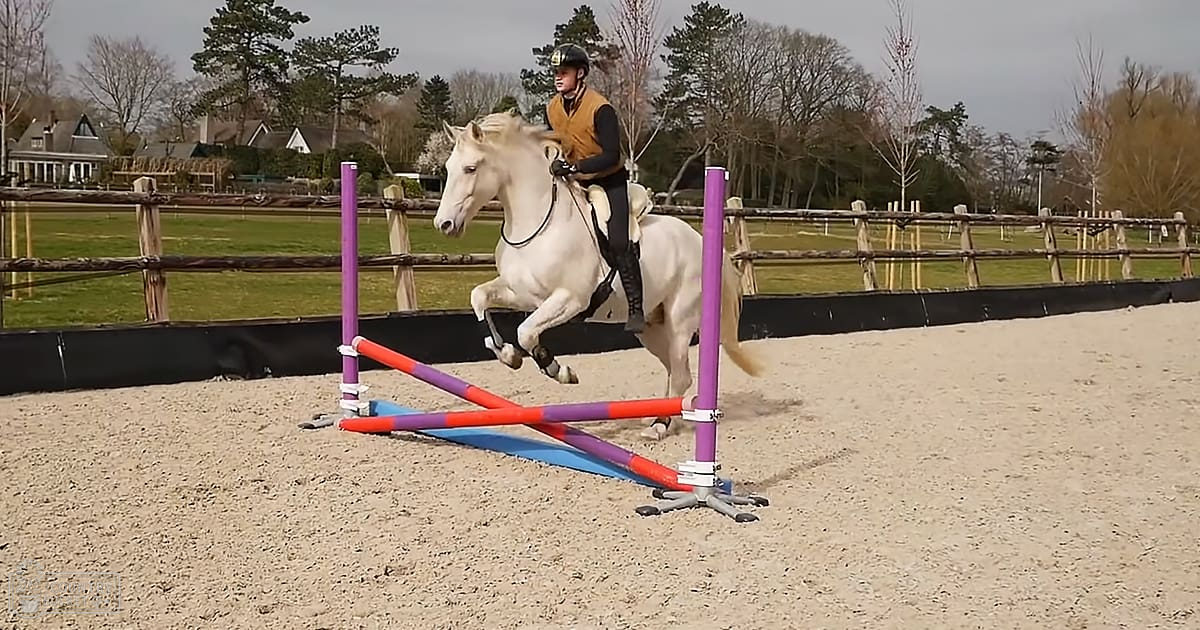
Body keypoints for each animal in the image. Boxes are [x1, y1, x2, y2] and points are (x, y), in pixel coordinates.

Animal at [431, 111, 763, 441]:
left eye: (471, 168)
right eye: (448, 168)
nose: (444, 224)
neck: (536, 223)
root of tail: (699, 239)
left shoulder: (569, 300)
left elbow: (526, 331)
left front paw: (558, 370)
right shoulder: (520, 293)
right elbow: (480, 298)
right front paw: (507, 353)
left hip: (680, 321)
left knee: (681, 374)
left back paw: (659, 425)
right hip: (652, 327)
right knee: (674, 370)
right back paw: (663, 418)